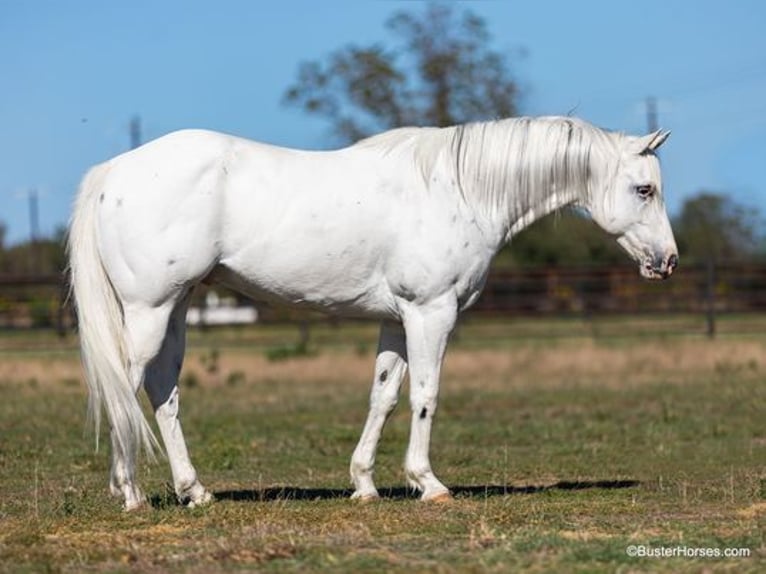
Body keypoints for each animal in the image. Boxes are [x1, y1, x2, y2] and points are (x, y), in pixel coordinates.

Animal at [66, 115, 680, 510]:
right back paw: (131, 494)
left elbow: (382, 396)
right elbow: (425, 395)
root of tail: (114, 172)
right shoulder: (432, 313)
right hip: (149, 310)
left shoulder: (396, 319)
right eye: (644, 190)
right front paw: (428, 483)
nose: (668, 262)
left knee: (163, 394)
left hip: (174, 310)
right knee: (124, 388)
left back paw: (194, 492)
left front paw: (364, 484)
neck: (458, 190)